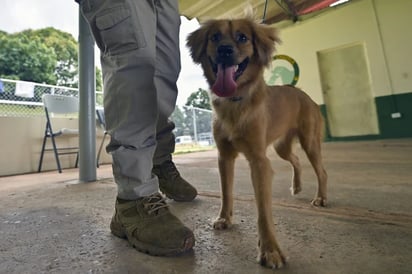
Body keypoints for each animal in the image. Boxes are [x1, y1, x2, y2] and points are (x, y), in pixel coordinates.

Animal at [187, 17, 328, 270]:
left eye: (242, 37)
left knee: (321, 171)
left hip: (310, 142)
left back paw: (321, 197)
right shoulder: (225, 157)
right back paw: (297, 186)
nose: (225, 50)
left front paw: (270, 250)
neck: (234, 103)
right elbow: (226, 192)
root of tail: (306, 96)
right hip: (281, 147)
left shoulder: (259, 161)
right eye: (214, 37)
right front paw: (224, 218)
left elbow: (263, 210)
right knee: (296, 160)